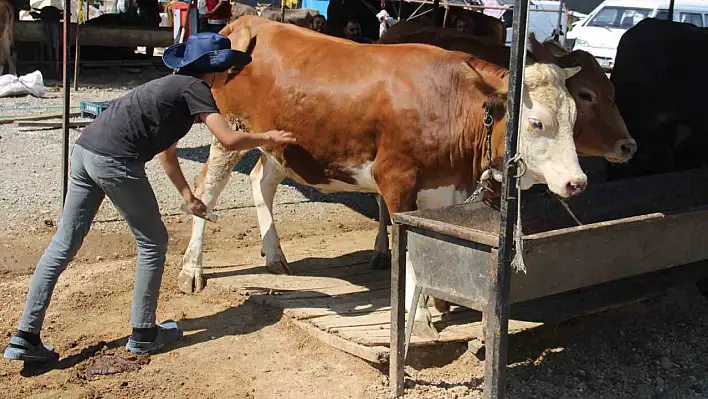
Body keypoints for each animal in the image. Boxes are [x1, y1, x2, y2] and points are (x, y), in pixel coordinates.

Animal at [180, 17, 588, 332]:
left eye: (574, 118)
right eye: (536, 122)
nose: (577, 182)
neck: (450, 102)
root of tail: (249, 23)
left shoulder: (443, 187)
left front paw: (435, 301)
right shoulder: (396, 179)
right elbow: (406, 245)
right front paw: (420, 314)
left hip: (279, 144)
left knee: (261, 181)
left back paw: (274, 255)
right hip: (228, 131)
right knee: (207, 189)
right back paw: (191, 269)